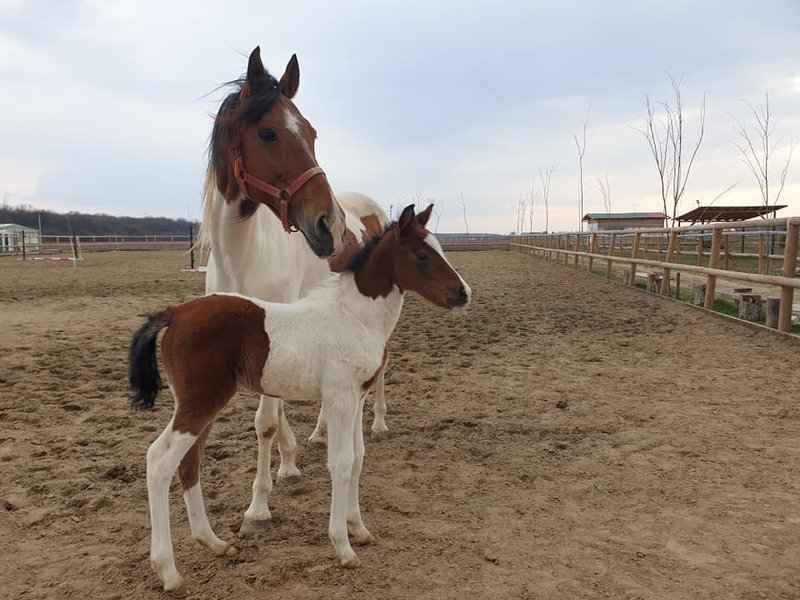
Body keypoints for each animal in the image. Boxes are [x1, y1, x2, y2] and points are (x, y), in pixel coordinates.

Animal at [128, 205, 472, 596]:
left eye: (439, 248)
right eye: (422, 255)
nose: (463, 293)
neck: (353, 316)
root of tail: (174, 313)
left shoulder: (356, 398)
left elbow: (358, 458)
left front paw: (359, 528)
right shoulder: (339, 398)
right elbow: (340, 462)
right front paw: (343, 546)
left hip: (204, 405)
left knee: (188, 462)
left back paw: (213, 543)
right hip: (199, 402)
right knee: (159, 460)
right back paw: (169, 572)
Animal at [199, 47, 388, 536]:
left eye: (313, 134)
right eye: (267, 133)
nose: (332, 226)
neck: (242, 256)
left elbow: (265, 420)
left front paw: (258, 506)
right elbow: (276, 410)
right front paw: (288, 461)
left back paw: (379, 422)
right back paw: (321, 431)